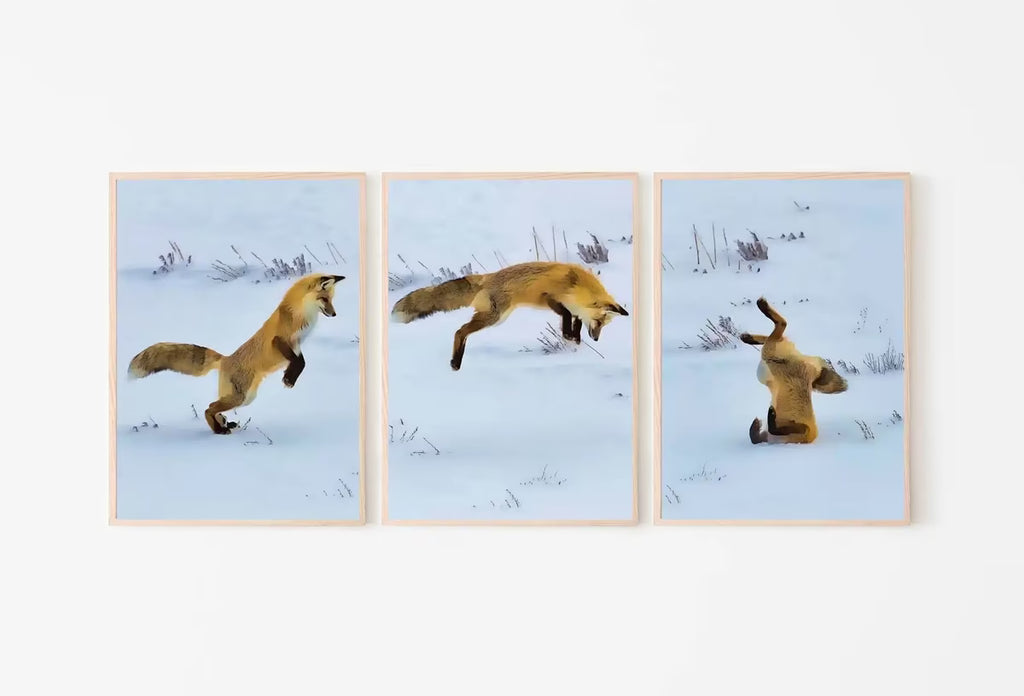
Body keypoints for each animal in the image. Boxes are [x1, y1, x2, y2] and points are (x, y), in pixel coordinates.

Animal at [127, 273, 345, 434]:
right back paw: (218, 430)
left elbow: (301, 362)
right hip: (240, 397)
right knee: (209, 407)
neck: (301, 313)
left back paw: (224, 423)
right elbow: (299, 362)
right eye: (324, 299)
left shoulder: (297, 345)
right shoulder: (280, 340)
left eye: (331, 300)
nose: (334, 314)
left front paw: (290, 376)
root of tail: (225, 359)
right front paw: (289, 379)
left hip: (245, 397)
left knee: (214, 406)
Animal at [391, 261, 629, 371]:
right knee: (460, 331)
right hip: (495, 317)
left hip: (495, 317)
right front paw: (570, 336)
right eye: (599, 321)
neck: (577, 285)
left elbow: (574, 321)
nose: (595, 339)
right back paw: (456, 362)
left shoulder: (574, 309)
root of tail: (488, 277)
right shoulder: (550, 297)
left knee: (462, 331)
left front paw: (574, 338)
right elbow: (566, 315)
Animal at [739, 297, 848, 444]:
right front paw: (768, 417)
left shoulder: (802, 432)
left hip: (771, 351)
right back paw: (759, 314)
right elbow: (768, 431)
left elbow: (765, 432)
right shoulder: (804, 432)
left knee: (778, 330)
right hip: (773, 350)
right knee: (781, 326)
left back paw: (750, 332)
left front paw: (769, 417)